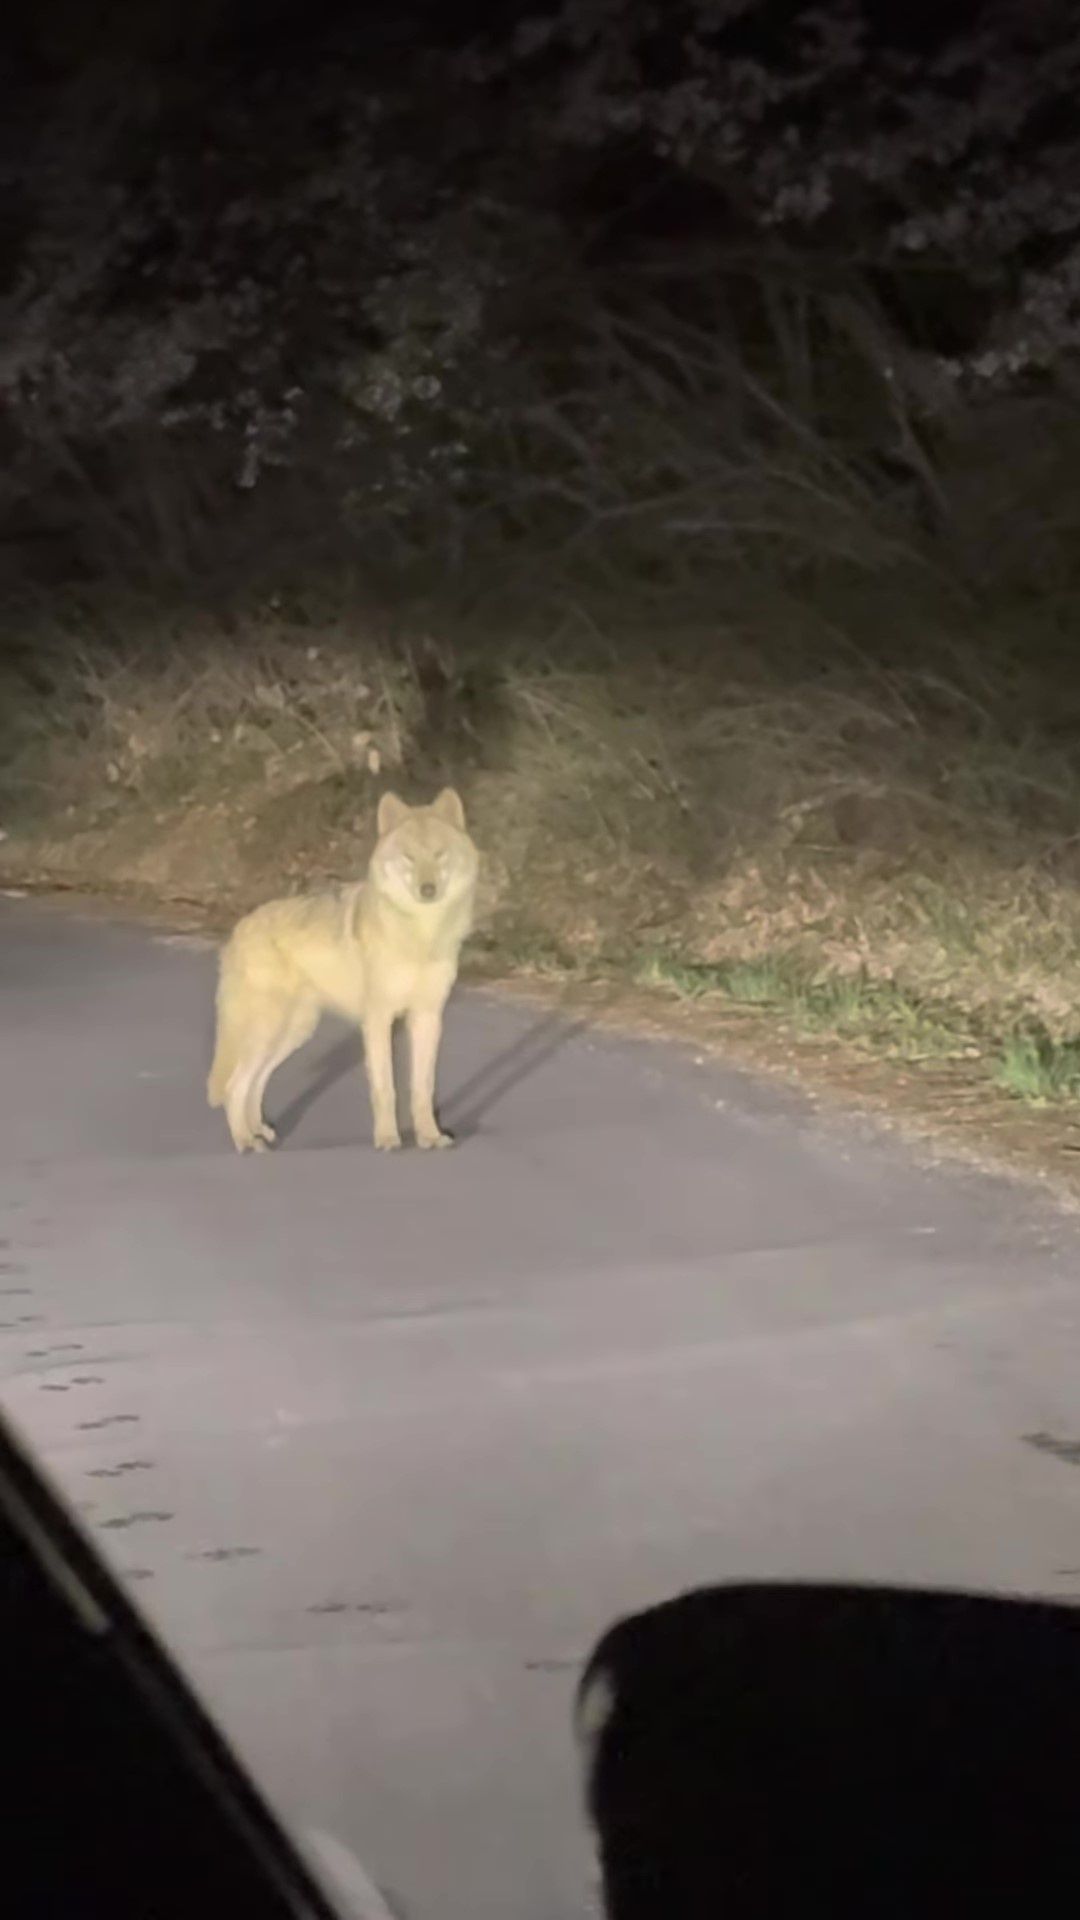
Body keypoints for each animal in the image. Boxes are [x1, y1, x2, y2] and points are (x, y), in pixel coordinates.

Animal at [207, 788, 479, 1154]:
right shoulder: (378, 1019)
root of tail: (238, 930)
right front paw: (388, 1139)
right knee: (235, 1086)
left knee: (255, 1083)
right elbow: (385, 1089)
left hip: (293, 1033)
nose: (428, 890)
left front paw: (430, 1137)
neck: (421, 934)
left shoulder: (428, 1017)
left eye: (439, 854)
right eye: (409, 857)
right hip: (270, 1031)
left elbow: (423, 1088)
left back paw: (259, 1132)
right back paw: (245, 1142)